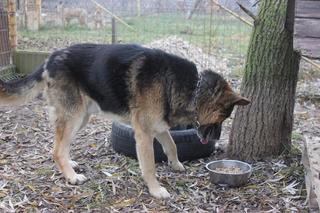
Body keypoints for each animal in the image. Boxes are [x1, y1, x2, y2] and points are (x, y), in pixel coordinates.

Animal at [0, 44, 250, 199]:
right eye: (223, 118)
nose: (217, 140)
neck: (193, 88)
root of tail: (50, 59)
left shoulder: (158, 126)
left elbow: (172, 145)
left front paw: (176, 164)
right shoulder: (144, 134)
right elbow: (149, 165)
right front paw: (155, 190)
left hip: (81, 118)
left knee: (60, 146)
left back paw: (69, 165)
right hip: (74, 116)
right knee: (57, 149)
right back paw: (71, 177)